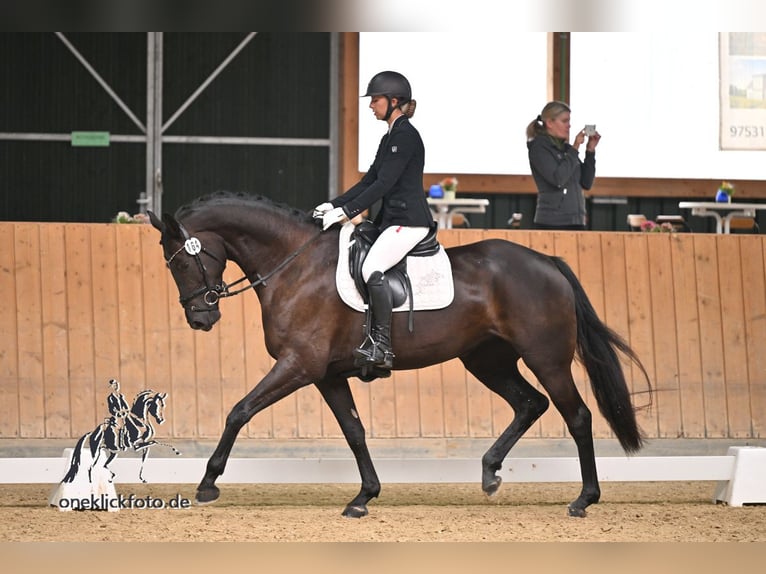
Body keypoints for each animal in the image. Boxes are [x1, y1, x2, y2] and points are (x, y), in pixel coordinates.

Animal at [148, 191, 651, 518]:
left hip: (545, 358)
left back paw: (583, 499)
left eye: (183, 258)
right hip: (486, 359)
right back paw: (490, 472)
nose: (200, 318)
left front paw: (207, 484)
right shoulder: (327, 374)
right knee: (530, 403)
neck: (295, 264)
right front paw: (364, 497)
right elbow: (354, 431)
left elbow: (239, 410)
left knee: (577, 415)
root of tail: (548, 263)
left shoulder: (298, 365)